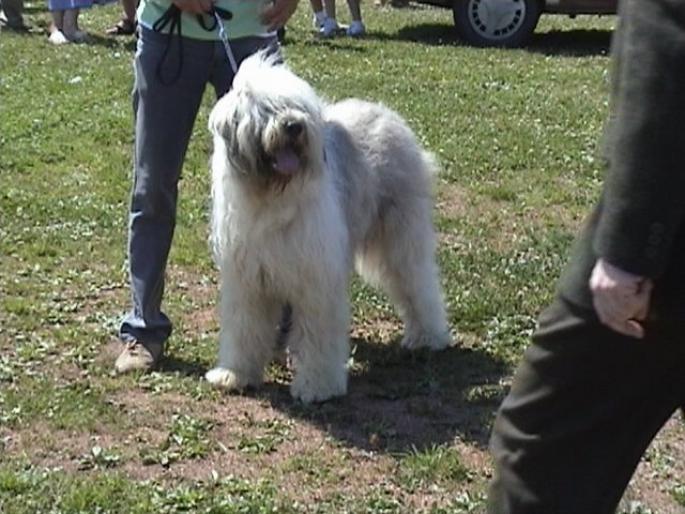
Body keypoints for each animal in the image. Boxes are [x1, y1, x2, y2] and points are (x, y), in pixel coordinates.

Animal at [204, 53, 448, 404]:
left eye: (297, 106)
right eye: (266, 109)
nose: (294, 126)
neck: (271, 197)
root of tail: (388, 114)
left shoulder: (315, 279)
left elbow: (318, 336)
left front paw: (317, 387)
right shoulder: (248, 281)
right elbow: (244, 329)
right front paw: (234, 374)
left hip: (401, 238)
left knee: (419, 280)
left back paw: (429, 336)